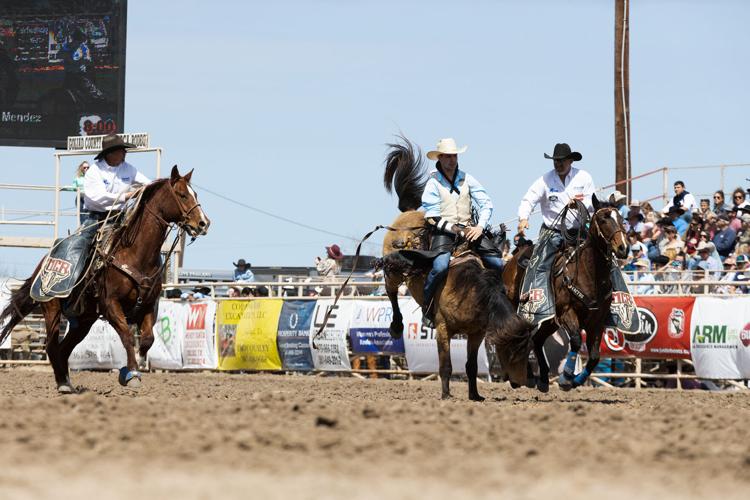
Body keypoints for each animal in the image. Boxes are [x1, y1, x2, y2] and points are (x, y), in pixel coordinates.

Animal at [0, 166, 212, 392]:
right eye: (182, 194)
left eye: (195, 194)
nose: (203, 223)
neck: (135, 254)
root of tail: (43, 263)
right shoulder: (111, 304)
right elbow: (127, 336)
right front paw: (132, 374)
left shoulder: (149, 306)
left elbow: (147, 339)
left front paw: (131, 368)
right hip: (52, 309)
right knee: (51, 346)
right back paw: (63, 384)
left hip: (84, 320)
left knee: (64, 348)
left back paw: (67, 381)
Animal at [382, 138, 536, 402]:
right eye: (513, 351)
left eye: (527, 350)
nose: (520, 382)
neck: (468, 289)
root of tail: (409, 213)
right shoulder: (443, 329)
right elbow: (445, 365)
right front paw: (446, 395)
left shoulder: (476, 334)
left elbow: (471, 366)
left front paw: (475, 395)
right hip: (393, 270)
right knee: (391, 292)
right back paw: (396, 326)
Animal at [502, 197, 632, 392]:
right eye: (603, 219)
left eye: (622, 219)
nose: (623, 248)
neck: (588, 273)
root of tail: (512, 259)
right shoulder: (567, 313)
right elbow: (577, 341)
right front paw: (566, 378)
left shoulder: (597, 321)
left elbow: (595, 356)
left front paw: (577, 380)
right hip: (522, 312)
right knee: (520, 337)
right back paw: (526, 377)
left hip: (549, 321)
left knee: (536, 340)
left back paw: (543, 380)